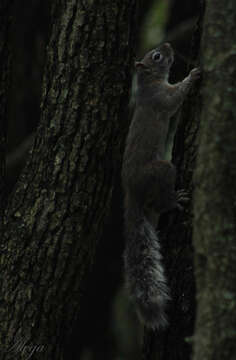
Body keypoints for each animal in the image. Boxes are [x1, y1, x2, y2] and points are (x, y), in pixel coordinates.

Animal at [121, 42, 201, 330]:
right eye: (157, 56)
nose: (168, 46)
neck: (149, 83)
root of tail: (131, 192)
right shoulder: (162, 98)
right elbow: (175, 98)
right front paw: (193, 76)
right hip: (161, 171)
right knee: (161, 201)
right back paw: (175, 200)